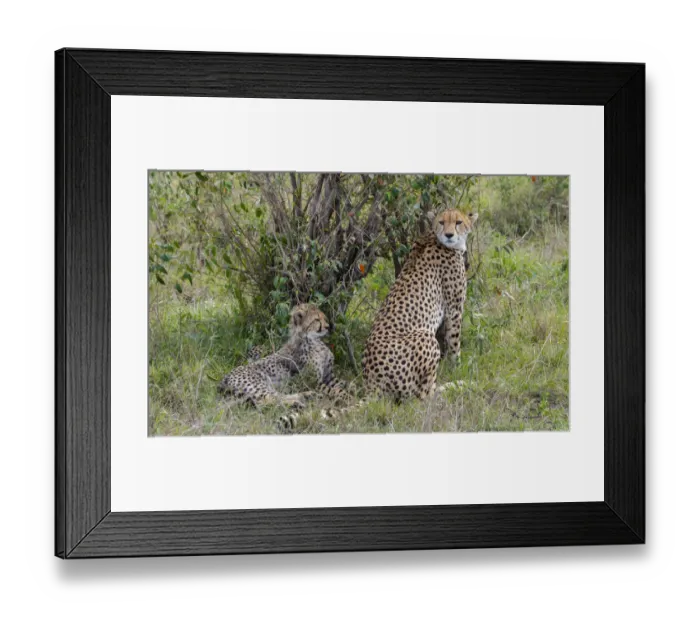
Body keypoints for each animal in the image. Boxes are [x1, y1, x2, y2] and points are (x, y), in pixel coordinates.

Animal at [218, 303, 346, 409]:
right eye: (316, 320)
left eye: (323, 318)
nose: (328, 327)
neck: (313, 341)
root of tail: (224, 378)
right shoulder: (311, 381)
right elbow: (332, 389)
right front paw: (344, 395)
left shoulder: (328, 376)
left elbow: (343, 383)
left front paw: (347, 389)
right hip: (257, 383)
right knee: (266, 401)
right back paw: (297, 401)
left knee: (276, 396)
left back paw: (305, 396)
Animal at [361, 209, 478, 400]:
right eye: (441, 222)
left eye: (458, 222)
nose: (449, 235)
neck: (433, 237)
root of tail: (371, 385)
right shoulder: (454, 309)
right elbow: (454, 342)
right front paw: (458, 367)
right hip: (425, 336)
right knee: (424, 396)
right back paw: (456, 385)